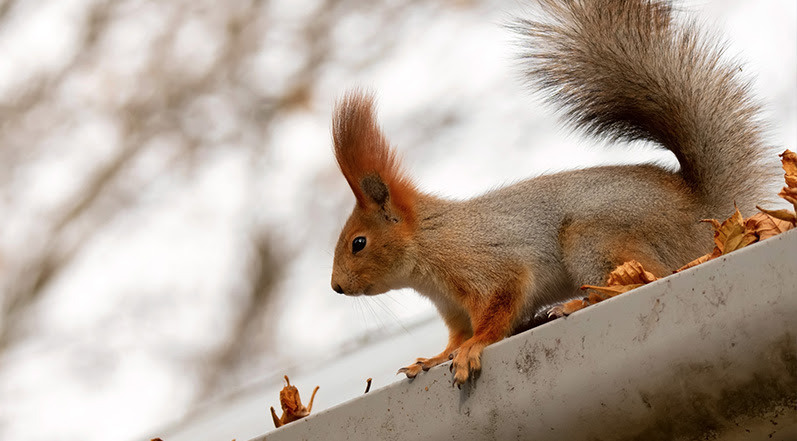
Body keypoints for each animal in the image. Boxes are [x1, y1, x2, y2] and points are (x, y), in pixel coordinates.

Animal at [328, 0, 772, 384]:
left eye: (358, 243)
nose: (336, 287)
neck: (429, 243)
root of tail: (700, 216)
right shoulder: (453, 309)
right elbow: (455, 336)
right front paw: (433, 358)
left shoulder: (487, 266)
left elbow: (497, 311)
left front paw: (473, 348)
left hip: (593, 240)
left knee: (646, 279)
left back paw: (575, 303)